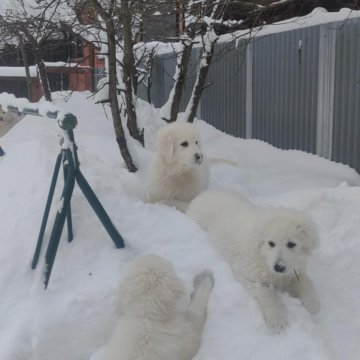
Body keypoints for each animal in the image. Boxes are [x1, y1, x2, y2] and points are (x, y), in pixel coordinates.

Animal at [187, 190, 320, 330]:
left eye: (291, 244)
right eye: (271, 243)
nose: (279, 267)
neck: (263, 258)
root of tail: (204, 194)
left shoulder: (292, 270)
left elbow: (306, 281)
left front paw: (313, 304)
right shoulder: (246, 274)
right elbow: (265, 292)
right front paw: (277, 319)